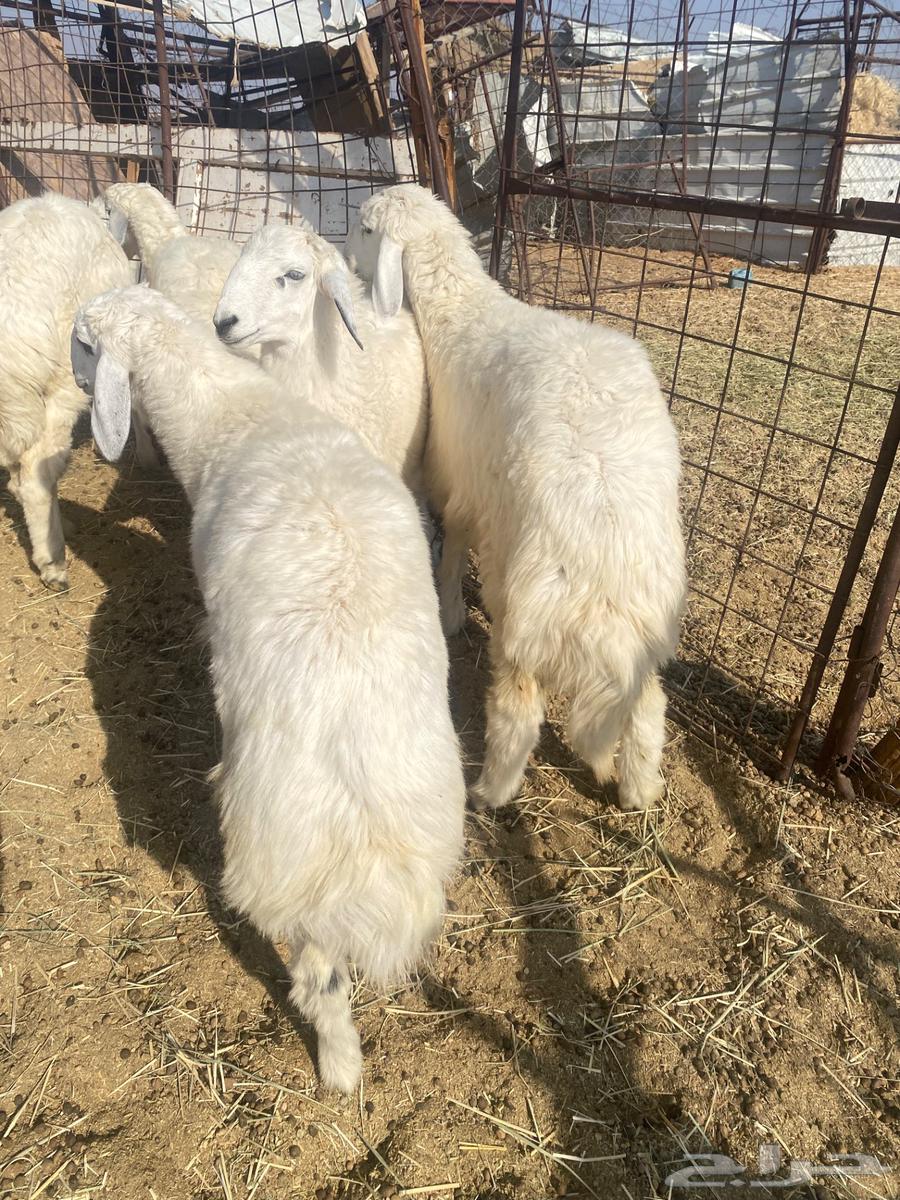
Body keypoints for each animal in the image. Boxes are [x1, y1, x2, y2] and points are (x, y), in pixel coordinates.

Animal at [71, 284, 466, 1092]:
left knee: (320, 982)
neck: (236, 417)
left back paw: (339, 1071)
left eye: (85, 344)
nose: (72, 384)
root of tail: (363, 818)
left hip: (289, 869)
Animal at [346, 184, 687, 814]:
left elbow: (453, 543)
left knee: (518, 714)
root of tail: (604, 571)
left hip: (523, 610)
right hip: (649, 626)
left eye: (363, 228)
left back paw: (491, 792)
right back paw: (638, 792)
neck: (459, 312)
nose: (336, 243)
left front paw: (451, 611)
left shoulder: (458, 481)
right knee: (649, 709)